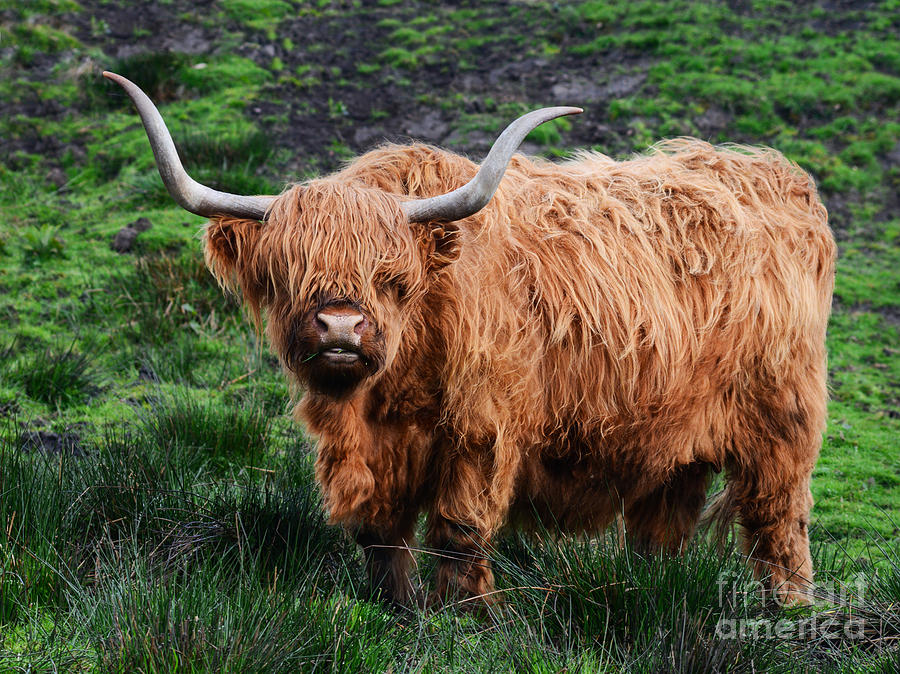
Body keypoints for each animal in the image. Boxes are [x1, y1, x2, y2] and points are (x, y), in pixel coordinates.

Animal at [107, 72, 836, 604]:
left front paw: (466, 616)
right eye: (288, 273)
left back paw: (790, 612)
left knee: (780, 520)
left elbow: (460, 530)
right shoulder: (374, 451)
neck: (389, 392)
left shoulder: (483, 430)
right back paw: (651, 594)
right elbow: (381, 534)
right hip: (668, 438)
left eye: (392, 278)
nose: (341, 328)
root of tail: (776, 176)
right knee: (663, 527)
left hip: (781, 419)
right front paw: (394, 610)